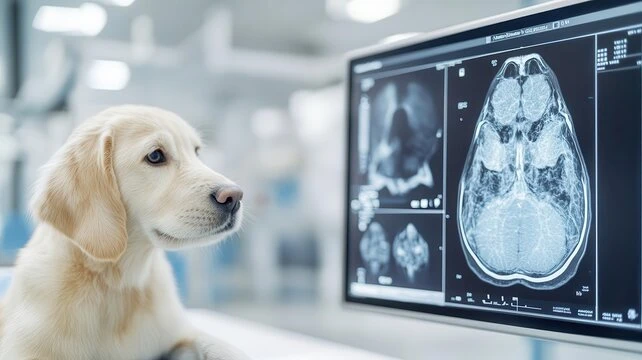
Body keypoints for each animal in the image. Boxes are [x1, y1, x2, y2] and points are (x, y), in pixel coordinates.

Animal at [0, 105, 249, 358]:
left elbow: (214, 343)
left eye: (197, 152)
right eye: (155, 156)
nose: (234, 197)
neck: (118, 283)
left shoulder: (180, 332)